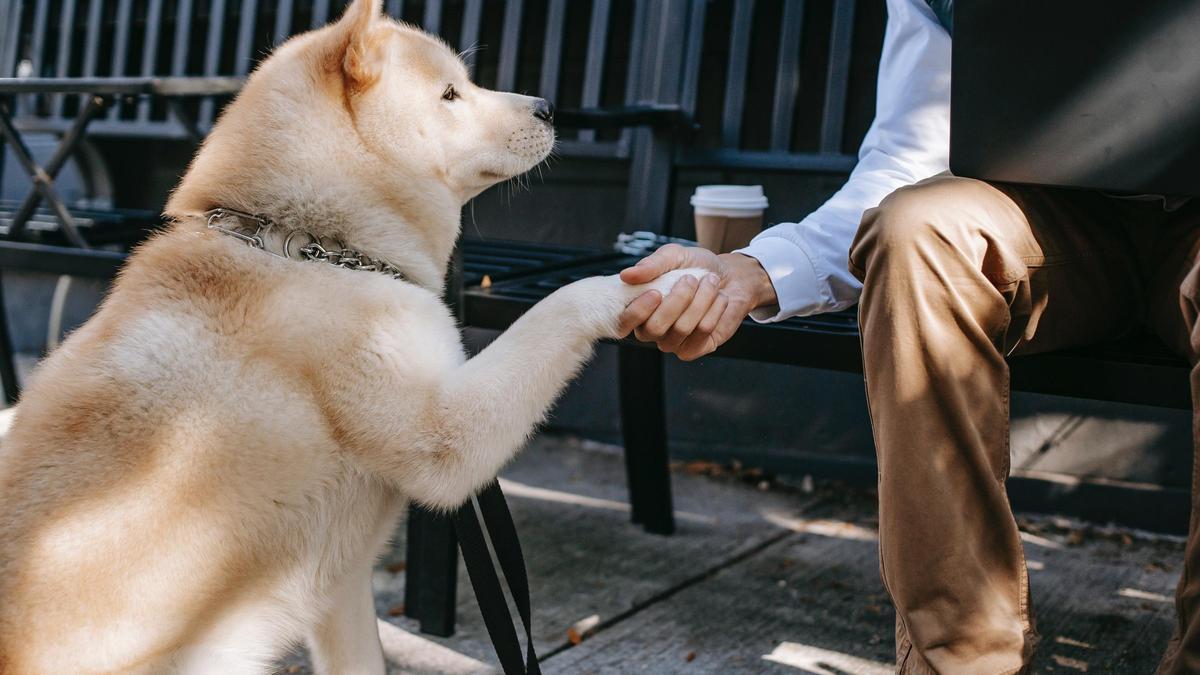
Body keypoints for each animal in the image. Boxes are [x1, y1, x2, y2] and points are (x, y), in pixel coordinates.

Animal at [0, 2, 700, 667]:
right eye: (451, 93)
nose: (550, 108)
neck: (309, 248)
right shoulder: (445, 438)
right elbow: (559, 305)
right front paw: (668, 279)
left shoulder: (339, 589)